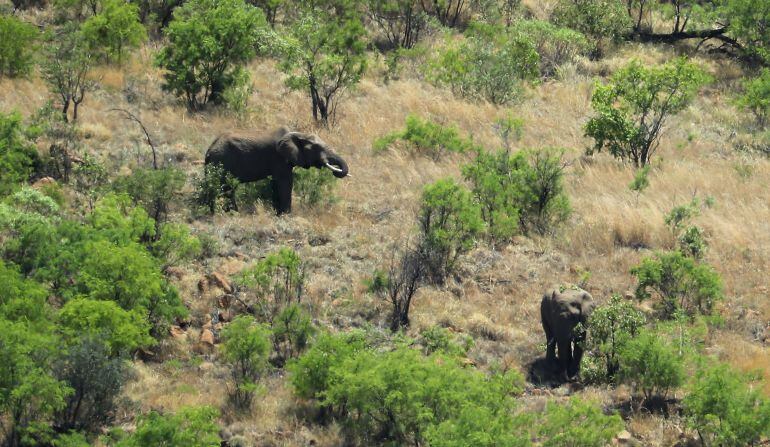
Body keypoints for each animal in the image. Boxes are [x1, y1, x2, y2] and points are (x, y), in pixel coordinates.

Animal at [204, 128, 348, 215]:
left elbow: (275, 184)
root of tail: (209, 150)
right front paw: (286, 215)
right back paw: (233, 213)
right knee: (227, 188)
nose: (336, 171)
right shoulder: (279, 158)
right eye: (317, 148)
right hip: (222, 162)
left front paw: (278, 213)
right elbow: (285, 182)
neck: (297, 134)